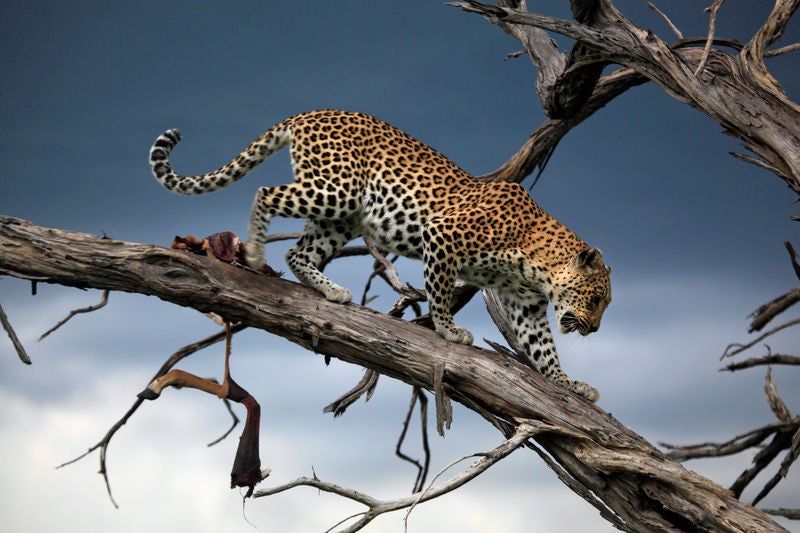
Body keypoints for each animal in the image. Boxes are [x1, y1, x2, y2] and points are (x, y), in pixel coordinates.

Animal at [148, 109, 612, 400]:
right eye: (595, 299)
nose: (593, 331)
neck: (538, 266)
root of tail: (310, 113)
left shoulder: (525, 306)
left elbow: (544, 351)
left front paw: (571, 385)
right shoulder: (441, 235)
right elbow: (440, 294)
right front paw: (448, 331)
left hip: (344, 216)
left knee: (299, 253)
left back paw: (332, 291)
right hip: (334, 190)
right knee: (265, 193)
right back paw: (259, 252)